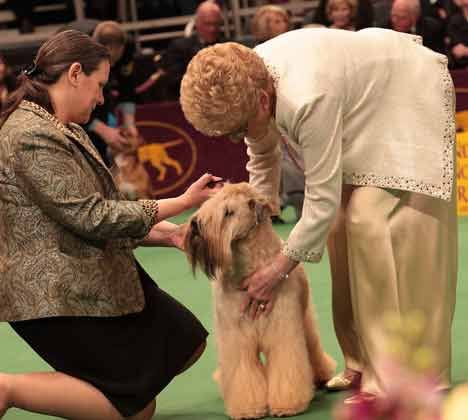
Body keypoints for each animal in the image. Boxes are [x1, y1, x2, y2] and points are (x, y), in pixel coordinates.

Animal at [185, 184, 334, 420]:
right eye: (209, 203)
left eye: (228, 212)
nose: (194, 225)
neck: (248, 266)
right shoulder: (236, 338)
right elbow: (242, 374)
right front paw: (248, 408)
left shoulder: (283, 331)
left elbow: (286, 366)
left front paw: (287, 404)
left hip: (306, 322)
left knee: (313, 350)